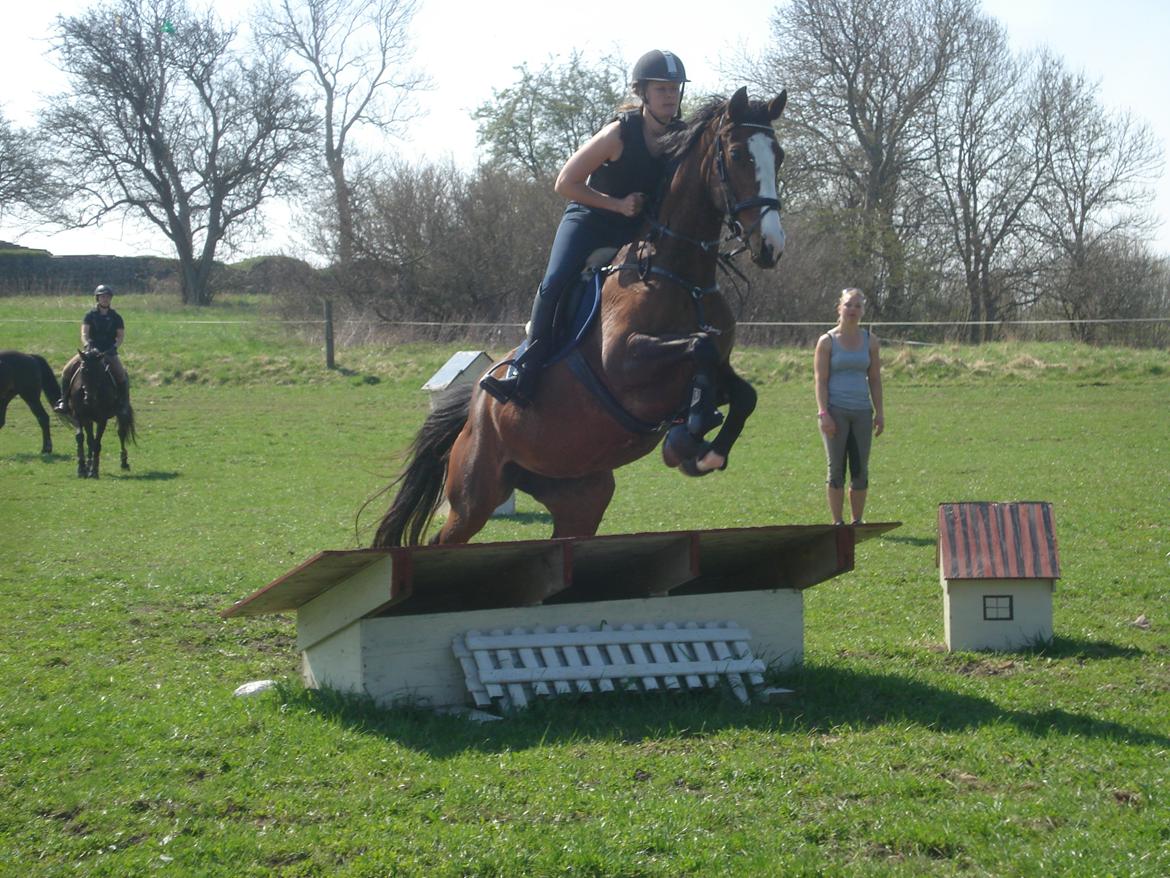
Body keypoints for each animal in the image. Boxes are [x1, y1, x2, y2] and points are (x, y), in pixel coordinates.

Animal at [66, 346, 135, 482]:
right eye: (83, 371)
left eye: (99, 372)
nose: (89, 399)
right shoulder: (81, 416)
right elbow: (82, 439)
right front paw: (82, 469)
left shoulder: (102, 419)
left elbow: (97, 443)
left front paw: (93, 471)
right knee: (89, 440)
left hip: (121, 413)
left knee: (121, 433)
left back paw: (124, 463)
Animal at [379, 86, 790, 547]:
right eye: (737, 154)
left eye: (779, 155)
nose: (771, 245)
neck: (682, 275)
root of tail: (474, 409)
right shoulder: (625, 364)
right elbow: (698, 347)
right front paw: (686, 439)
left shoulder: (714, 367)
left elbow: (742, 392)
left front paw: (703, 448)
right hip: (476, 494)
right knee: (445, 538)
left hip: (581, 495)